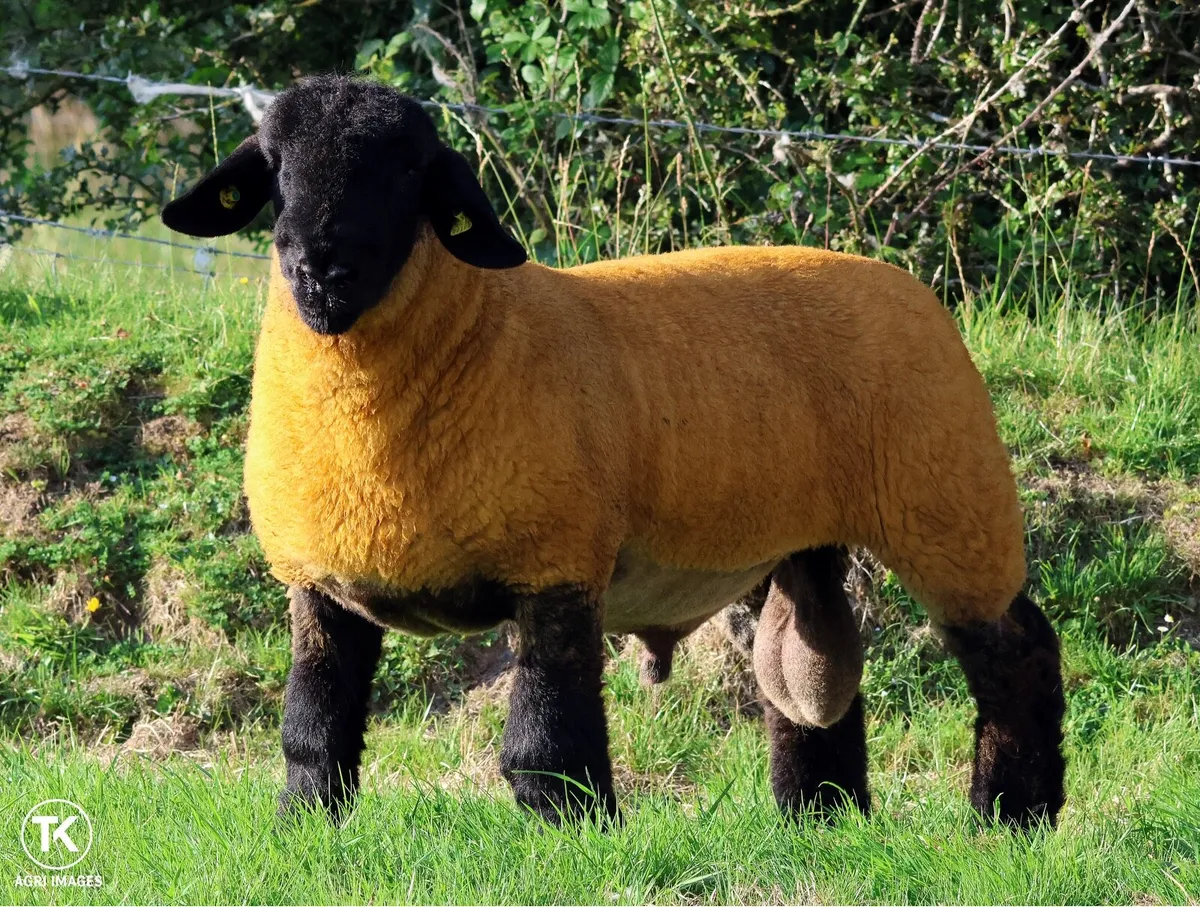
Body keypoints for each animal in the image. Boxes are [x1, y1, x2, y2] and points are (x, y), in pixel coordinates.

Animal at [161, 75, 1065, 829]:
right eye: (274, 168)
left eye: (407, 172)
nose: (322, 271)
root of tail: (909, 286)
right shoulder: (321, 582)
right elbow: (313, 729)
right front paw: (306, 827)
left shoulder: (557, 562)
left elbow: (546, 740)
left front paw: (573, 835)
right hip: (797, 537)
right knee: (808, 672)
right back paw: (822, 818)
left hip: (951, 501)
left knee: (1018, 656)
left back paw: (1011, 815)